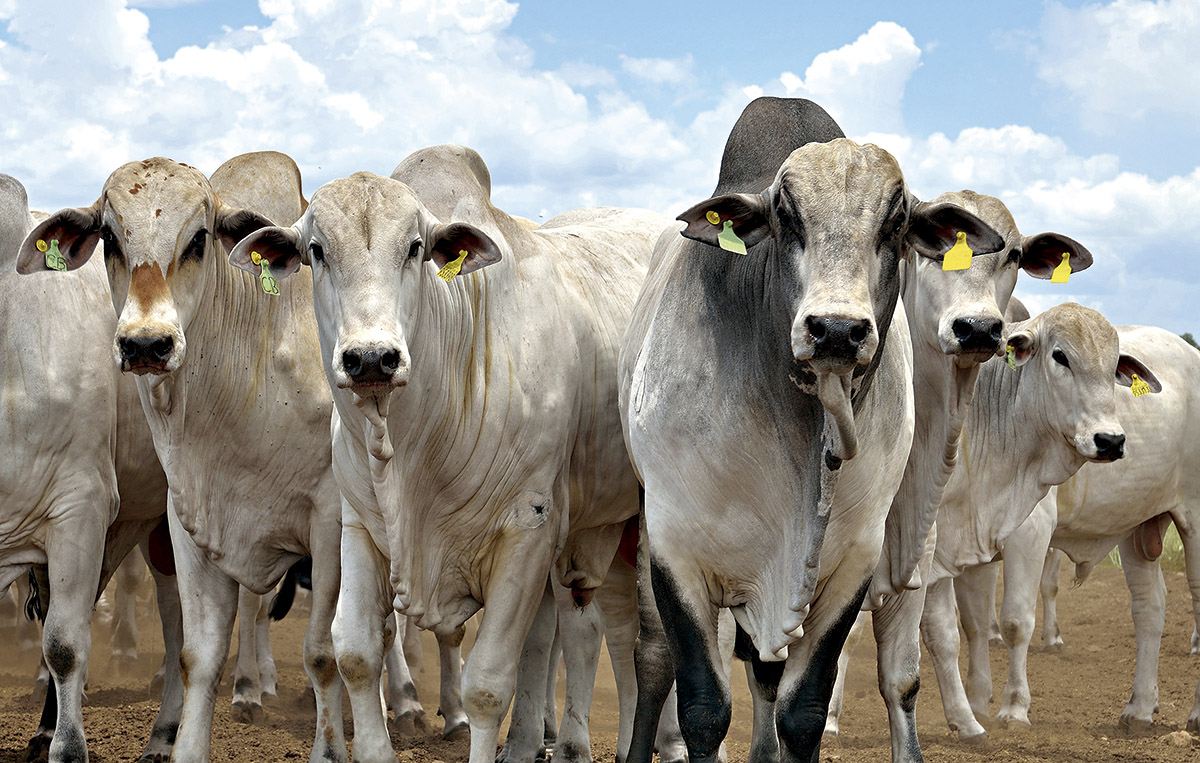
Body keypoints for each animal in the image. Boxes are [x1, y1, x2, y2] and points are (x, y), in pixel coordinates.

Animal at [17, 151, 348, 758]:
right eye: (110, 237)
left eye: (199, 238)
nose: (146, 345)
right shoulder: (189, 521)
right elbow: (198, 655)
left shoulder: (331, 525)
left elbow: (324, 653)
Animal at [229, 144, 672, 763]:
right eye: (316, 250)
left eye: (416, 247)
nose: (372, 359)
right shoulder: (360, 526)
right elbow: (356, 653)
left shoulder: (527, 531)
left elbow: (486, 684)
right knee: (590, 632)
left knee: (629, 640)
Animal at [619, 96, 1003, 763]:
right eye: (785, 216)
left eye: (895, 224)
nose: (837, 331)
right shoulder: (676, 553)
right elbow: (702, 709)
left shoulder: (851, 564)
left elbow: (802, 712)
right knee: (654, 658)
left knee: (766, 674)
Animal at [912, 302, 1156, 739]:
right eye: (1060, 356)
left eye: (1114, 365)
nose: (1110, 441)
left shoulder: (1007, 535)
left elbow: (999, 624)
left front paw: (1002, 709)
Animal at [950, 326, 1195, 734]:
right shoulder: (970, 541)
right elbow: (974, 623)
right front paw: (975, 703)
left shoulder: (1029, 535)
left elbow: (1015, 621)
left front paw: (1014, 707)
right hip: (1137, 530)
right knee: (1149, 608)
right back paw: (1140, 707)